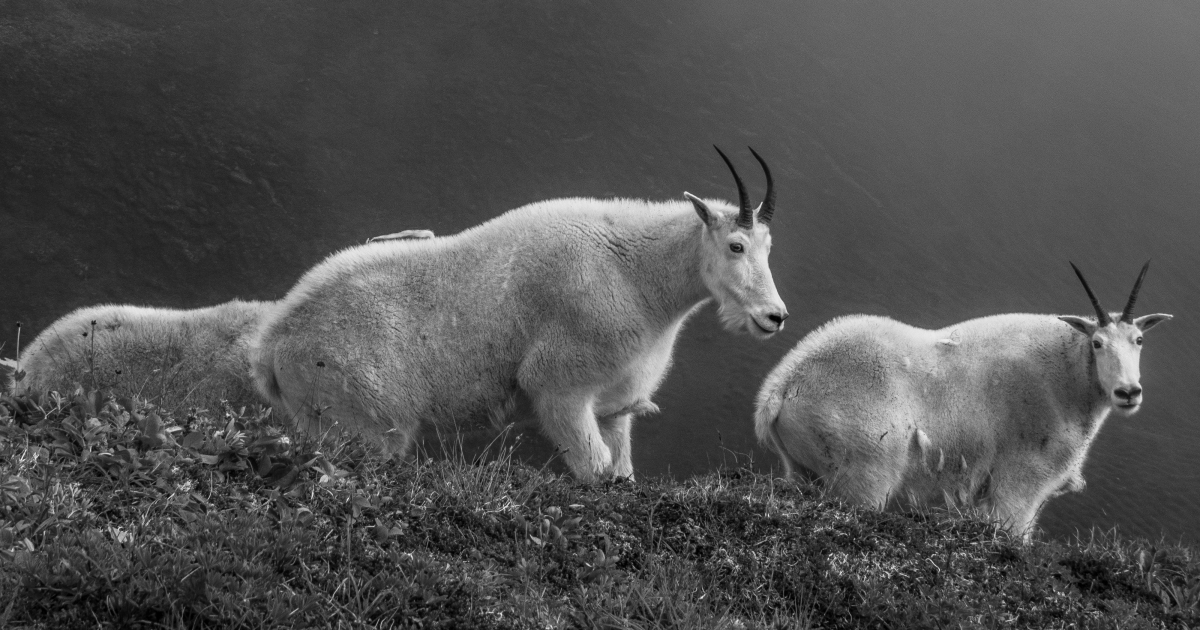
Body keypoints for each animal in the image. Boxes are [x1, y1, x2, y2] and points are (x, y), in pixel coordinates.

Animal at [250, 147, 789, 481]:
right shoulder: (559, 388)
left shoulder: (614, 404)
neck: (636, 274)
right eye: (736, 245)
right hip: (362, 423)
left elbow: (621, 470)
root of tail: (272, 346)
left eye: (768, 248)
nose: (775, 317)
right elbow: (594, 471)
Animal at [754, 262, 1171, 539]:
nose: (1128, 392)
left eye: (1139, 340)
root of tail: (781, 388)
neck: (1069, 383)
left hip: (803, 470)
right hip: (865, 472)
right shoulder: (1020, 483)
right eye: (1097, 343)